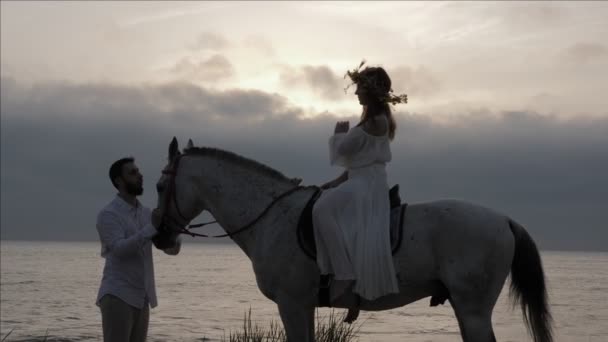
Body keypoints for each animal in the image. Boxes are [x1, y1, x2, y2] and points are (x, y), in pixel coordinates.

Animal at [154, 138, 552, 342]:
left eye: (159, 186)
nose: (160, 235)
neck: (271, 216)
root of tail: (504, 219)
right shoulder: (302, 306)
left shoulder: (291, 303)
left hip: (472, 308)